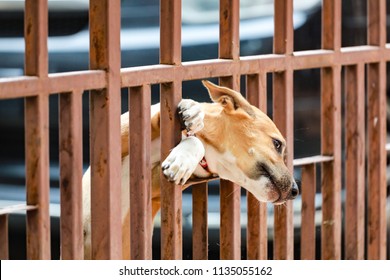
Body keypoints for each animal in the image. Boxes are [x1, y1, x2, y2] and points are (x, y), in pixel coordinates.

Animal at [80, 80, 298, 260]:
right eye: (277, 144)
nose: (295, 191)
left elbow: (194, 144)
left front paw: (183, 158)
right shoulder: (118, 138)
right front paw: (192, 111)